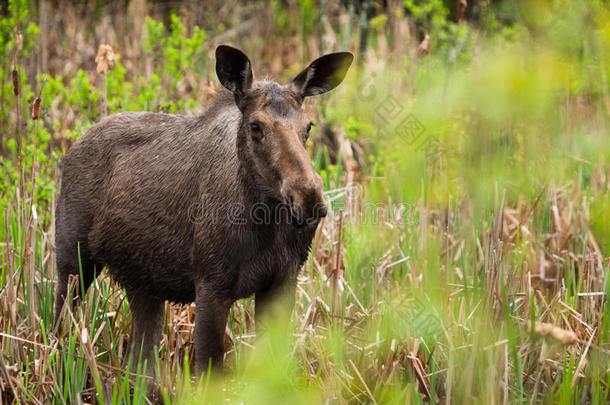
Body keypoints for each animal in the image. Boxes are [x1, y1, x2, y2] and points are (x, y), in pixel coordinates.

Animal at [54, 45, 354, 372]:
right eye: (255, 126)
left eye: (308, 126)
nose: (308, 196)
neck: (265, 222)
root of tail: (74, 145)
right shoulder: (211, 284)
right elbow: (209, 370)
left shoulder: (282, 282)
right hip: (72, 260)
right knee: (56, 323)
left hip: (142, 282)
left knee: (141, 361)